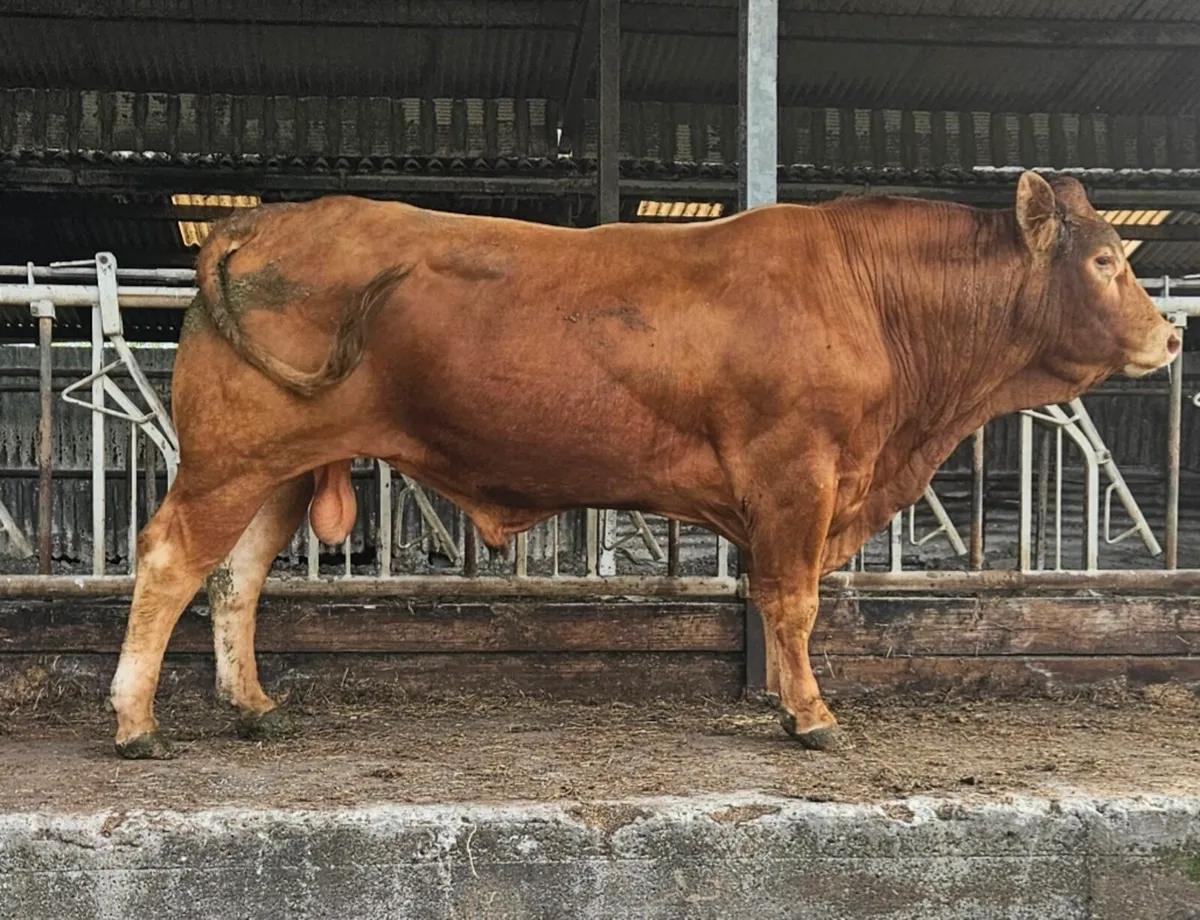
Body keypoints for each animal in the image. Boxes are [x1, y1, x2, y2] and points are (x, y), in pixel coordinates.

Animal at [107, 171, 1180, 759]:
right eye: (1104, 262)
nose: (1170, 338)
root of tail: (265, 218)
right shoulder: (797, 474)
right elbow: (791, 602)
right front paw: (810, 716)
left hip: (280, 468)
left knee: (236, 578)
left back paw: (252, 707)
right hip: (231, 455)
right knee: (168, 560)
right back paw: (134, 722)